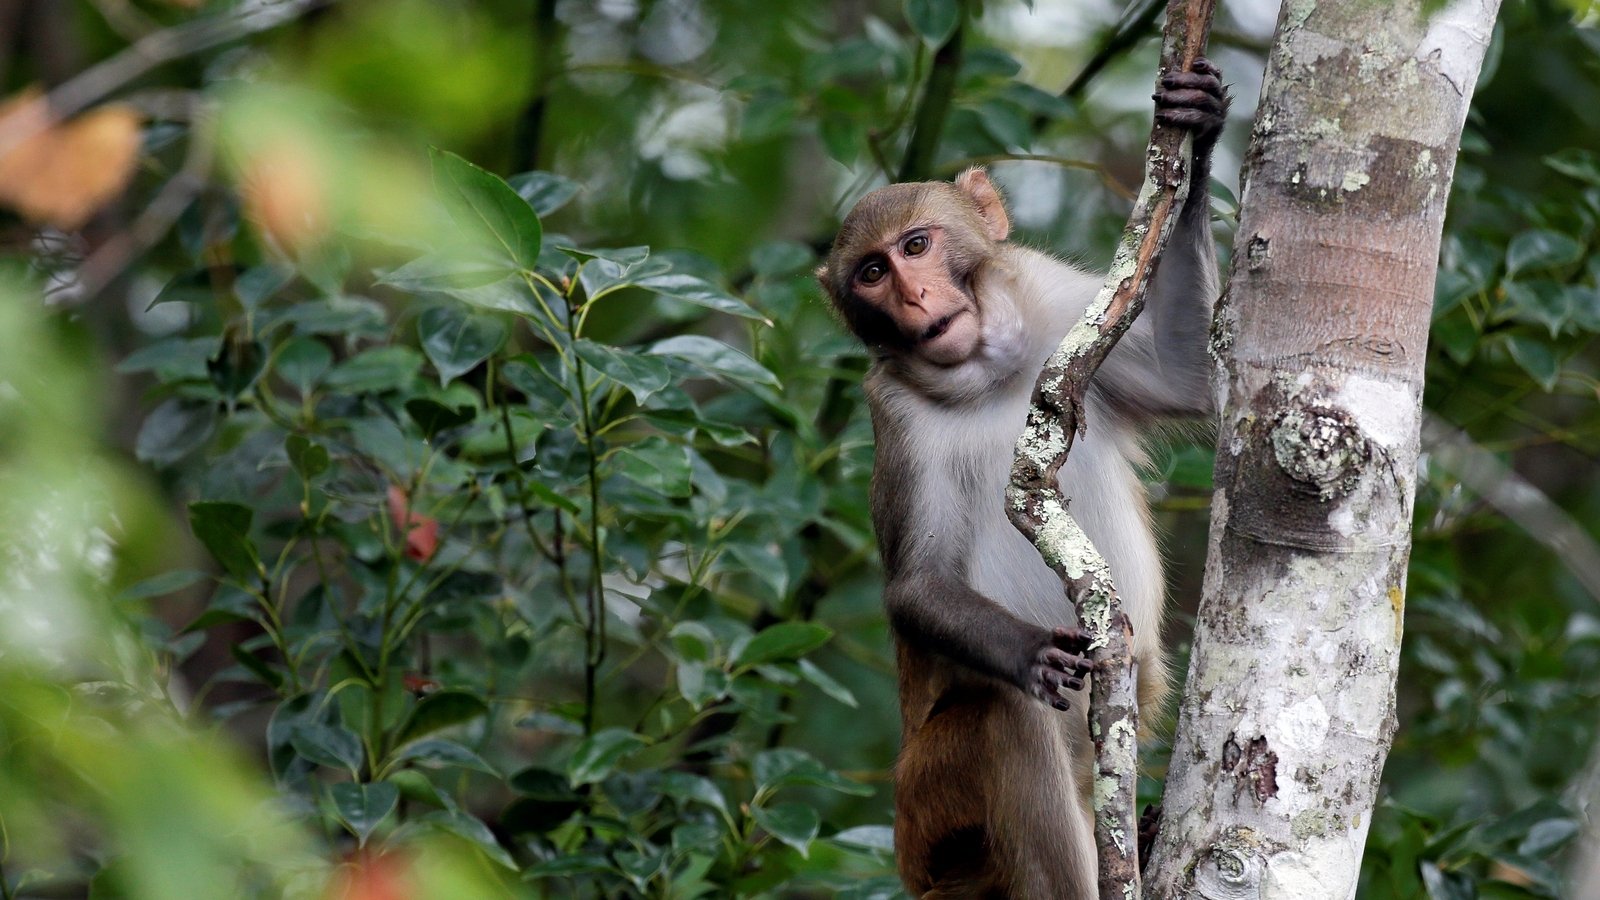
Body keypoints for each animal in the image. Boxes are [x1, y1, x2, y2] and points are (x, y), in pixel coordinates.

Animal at [819, 59, 1228, 890]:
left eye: (916, 245)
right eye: (873, 272)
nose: (915, 297)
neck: (989, 376)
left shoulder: (1062, 307)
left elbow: (1190, 377)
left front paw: (1199, 134)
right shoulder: (896, 420)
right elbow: (918, 585)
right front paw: (1030, 653)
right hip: (932, 798)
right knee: (1008, 723)